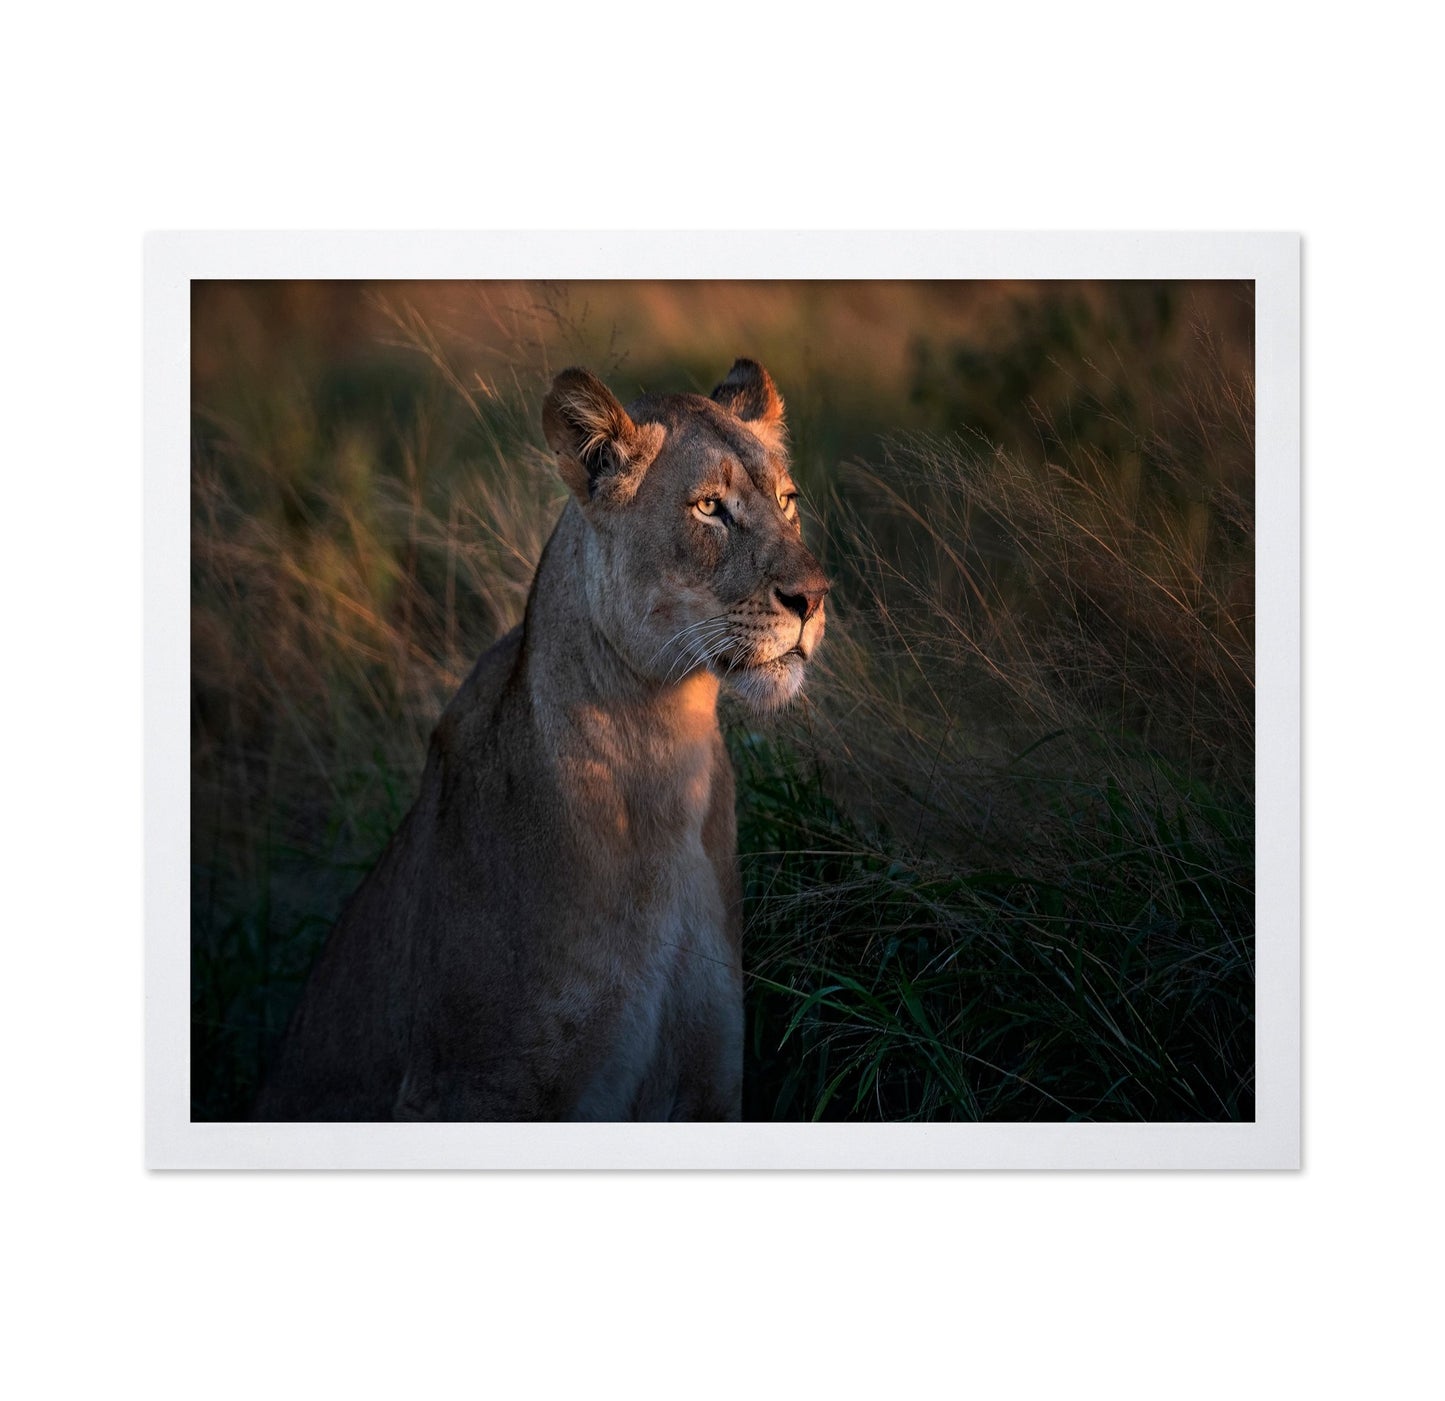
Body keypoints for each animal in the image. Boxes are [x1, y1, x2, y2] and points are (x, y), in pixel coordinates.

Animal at [254, 358, 829, 1122]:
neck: (666, 746)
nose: (815, 597)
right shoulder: (479, 1088)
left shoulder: (709, 1073)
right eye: (709, 507)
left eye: (787, 500)